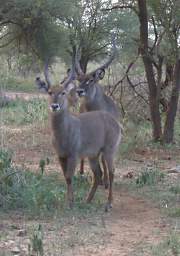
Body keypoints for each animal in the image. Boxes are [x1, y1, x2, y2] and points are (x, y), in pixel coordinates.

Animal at [35, 59, 121, 211]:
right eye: (50, 92)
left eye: (63, 92)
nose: (55, 106)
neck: (64, 130)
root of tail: (114, 121)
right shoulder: (61, 156)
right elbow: (65, 177)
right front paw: (69, 201)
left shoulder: (73, 156)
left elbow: (70, 177)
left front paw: (70, 202)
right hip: (93, 155)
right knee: (98, 174)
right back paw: (88, 200)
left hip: (108, 152)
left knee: (111, 172)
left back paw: (108, 204)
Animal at [75, 37, 120, 184]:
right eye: (79, 79)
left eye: (90, 80)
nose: (79, 91)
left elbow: (103, 158)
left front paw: (105, 180)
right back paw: (82, 172)